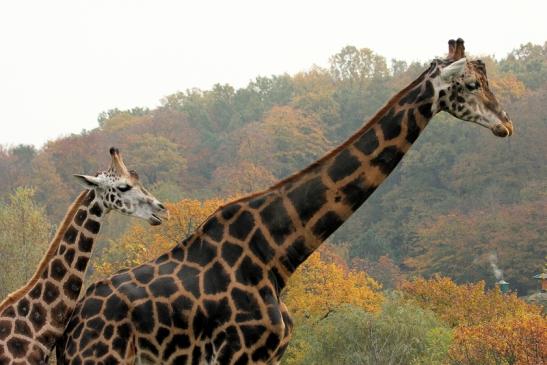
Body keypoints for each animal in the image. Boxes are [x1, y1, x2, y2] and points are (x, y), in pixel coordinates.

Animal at [55, 38, 512, 362]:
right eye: (471, 84)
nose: (506, 124)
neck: (278, 253)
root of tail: (69, 328)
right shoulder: (240, 353)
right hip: (101, 358)